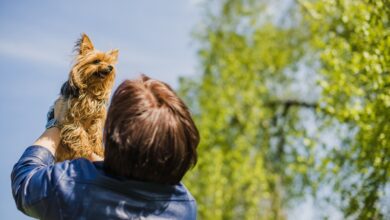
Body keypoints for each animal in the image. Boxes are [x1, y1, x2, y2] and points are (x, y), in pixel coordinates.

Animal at [55, 34, 117, 162]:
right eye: (96, 61)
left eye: (109, 62)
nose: (110, 67)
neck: (91, 89)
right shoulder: (71, 116)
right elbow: (79, 132)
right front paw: (86, 149)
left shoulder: (98, 117)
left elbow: (97, 133)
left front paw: (98, 150)